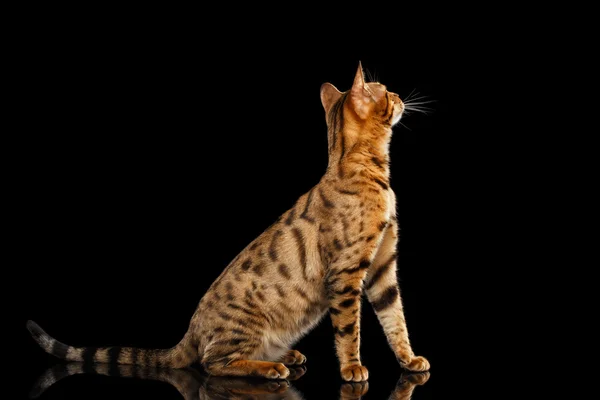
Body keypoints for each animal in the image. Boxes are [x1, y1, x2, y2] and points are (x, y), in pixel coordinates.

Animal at [28, 61, 432, 382]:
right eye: (387, 92)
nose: (400, 95)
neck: (371, 172)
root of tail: (189, 332)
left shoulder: (383, 265)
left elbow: (395, 319)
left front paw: (410, 360)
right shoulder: (347, 273)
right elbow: (350, 331)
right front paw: (352, 369)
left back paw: (285, 355)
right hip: (244, 327)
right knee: (212, 363)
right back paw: (269, 367)